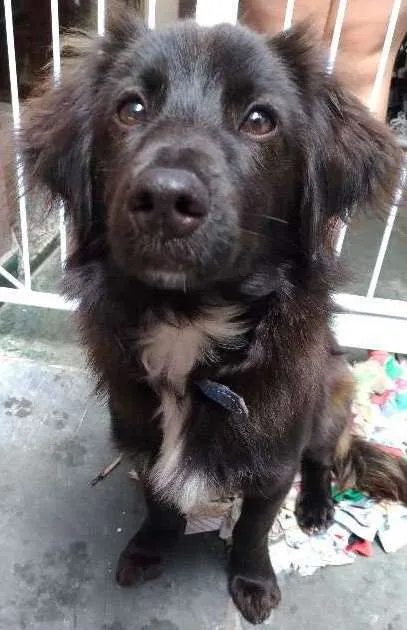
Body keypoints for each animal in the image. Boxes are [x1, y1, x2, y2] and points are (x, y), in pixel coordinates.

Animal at [21, 5, 407, 625]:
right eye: (131, 109)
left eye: (260, 120)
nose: (164, 199)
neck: (189, 322)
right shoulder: (143, 441)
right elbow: (159, 502)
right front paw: (150, 547)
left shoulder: (273, 463)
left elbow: (253, 528)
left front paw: (252, 580)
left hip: (330, 395)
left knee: (324, 458)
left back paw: (317, 506)